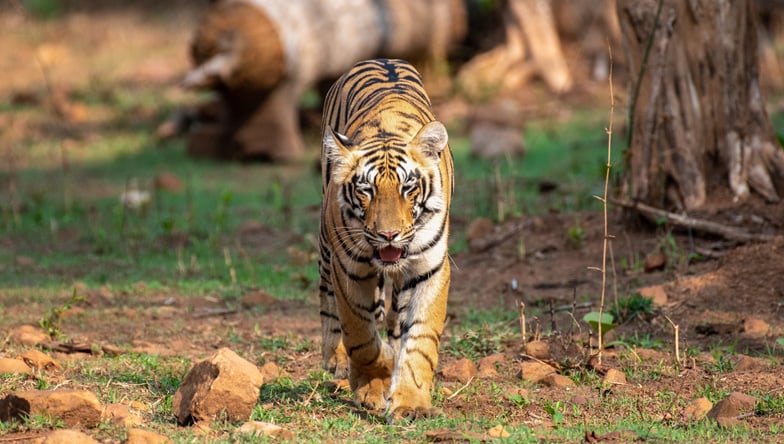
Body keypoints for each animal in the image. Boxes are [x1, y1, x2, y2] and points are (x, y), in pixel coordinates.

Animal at [318, 59, 454, 421]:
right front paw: (371, 387)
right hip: (325, 246)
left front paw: (411, 402)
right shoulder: (349, 267)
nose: (388, 235)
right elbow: (360, 335)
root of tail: (380, 59)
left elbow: (420, 339)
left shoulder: (429, 268)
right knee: (327, 301)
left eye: (408, 187)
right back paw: (335, 359)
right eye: (366, 190)